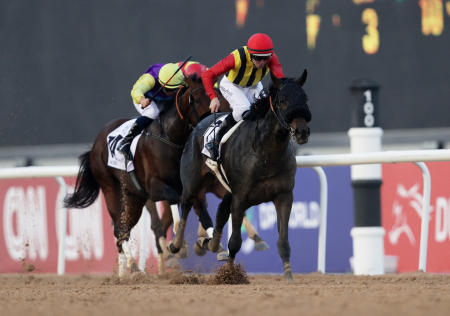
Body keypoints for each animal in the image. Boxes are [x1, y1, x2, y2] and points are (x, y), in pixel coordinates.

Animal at [171, 70, 312, 280]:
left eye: (305, 98)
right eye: (283, 101)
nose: (302, 131)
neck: (265, 153)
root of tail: (200, 123)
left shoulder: (284, 195)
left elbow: (283, 241)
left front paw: (288, 275)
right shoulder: (240, 197)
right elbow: (235, 242)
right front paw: (229, 274)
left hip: (224, 188)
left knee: (220, 212)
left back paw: (209, 243)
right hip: (192, 182)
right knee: (187, 205)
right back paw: (177, 245)